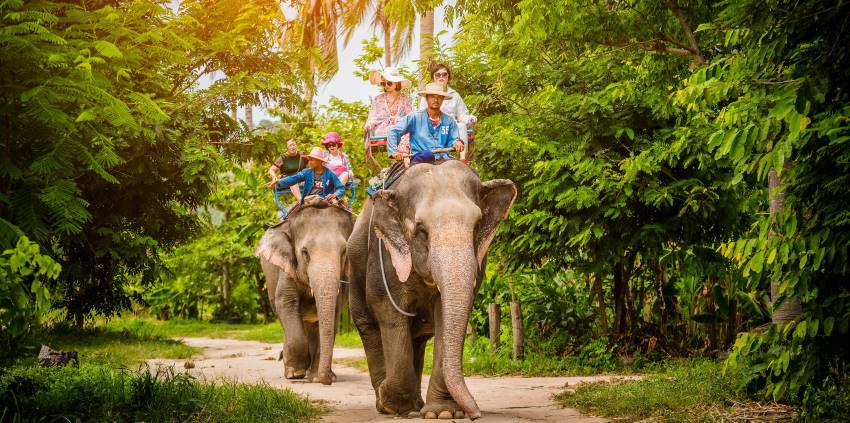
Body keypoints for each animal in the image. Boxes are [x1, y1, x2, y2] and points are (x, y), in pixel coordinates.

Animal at [255, 204, 354, 386]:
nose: (326, 381)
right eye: (305, 252)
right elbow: (285, 303)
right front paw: (296, 373)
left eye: (344, 251)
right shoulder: (287, 268)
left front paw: (316, 378)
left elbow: (333, 313)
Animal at [346, 161, 516, 420]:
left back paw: (415, 404)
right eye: (422, 231)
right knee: (368, 327)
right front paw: (393, 403)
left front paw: (442, 413)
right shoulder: (383, 255)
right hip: (354, 270)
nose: (476, 414)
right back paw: (384, 404)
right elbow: (389, 312)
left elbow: (446, 318)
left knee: (416, 339)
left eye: (477, 227)